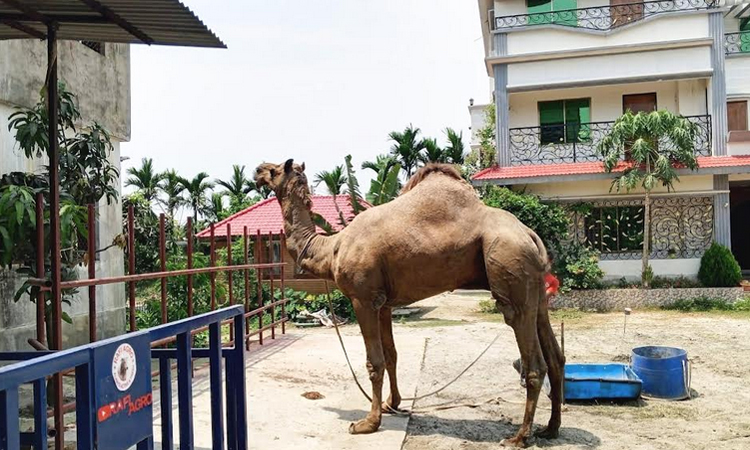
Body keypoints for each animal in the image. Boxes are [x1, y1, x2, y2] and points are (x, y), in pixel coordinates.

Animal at [254, 159, 565, 448]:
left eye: (275, 169)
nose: (257, 170)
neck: (331, 250)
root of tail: (532, 236)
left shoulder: (362, 298)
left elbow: (374, 361)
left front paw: (368, 423)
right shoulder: (383, 303)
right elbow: (391, 355)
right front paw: (392, 404)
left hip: (509, 268)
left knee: (531, 358)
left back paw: (519, 437)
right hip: (536, 289)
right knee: (555, 355)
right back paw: (550, 428)